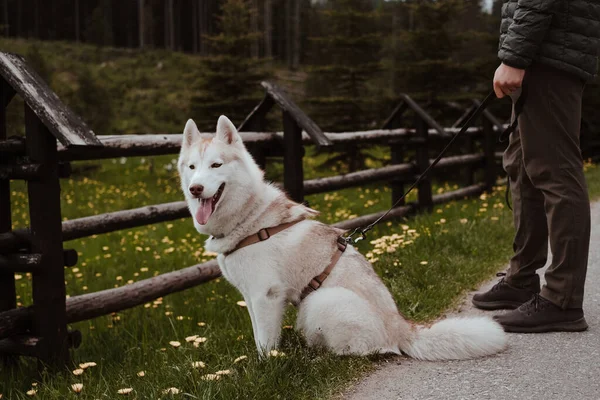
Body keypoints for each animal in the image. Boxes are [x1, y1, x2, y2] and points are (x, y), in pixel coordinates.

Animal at [179, 115, 506, 360]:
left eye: (216, 165)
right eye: (192, 167)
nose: (195, 189)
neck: (249, 218)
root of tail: (401, 326)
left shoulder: (266, 296)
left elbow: (265, 344)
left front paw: (266, 367)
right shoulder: (251, 296)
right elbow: (258, 333)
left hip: (320, 301)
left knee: (372, 350)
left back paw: (320, 355)